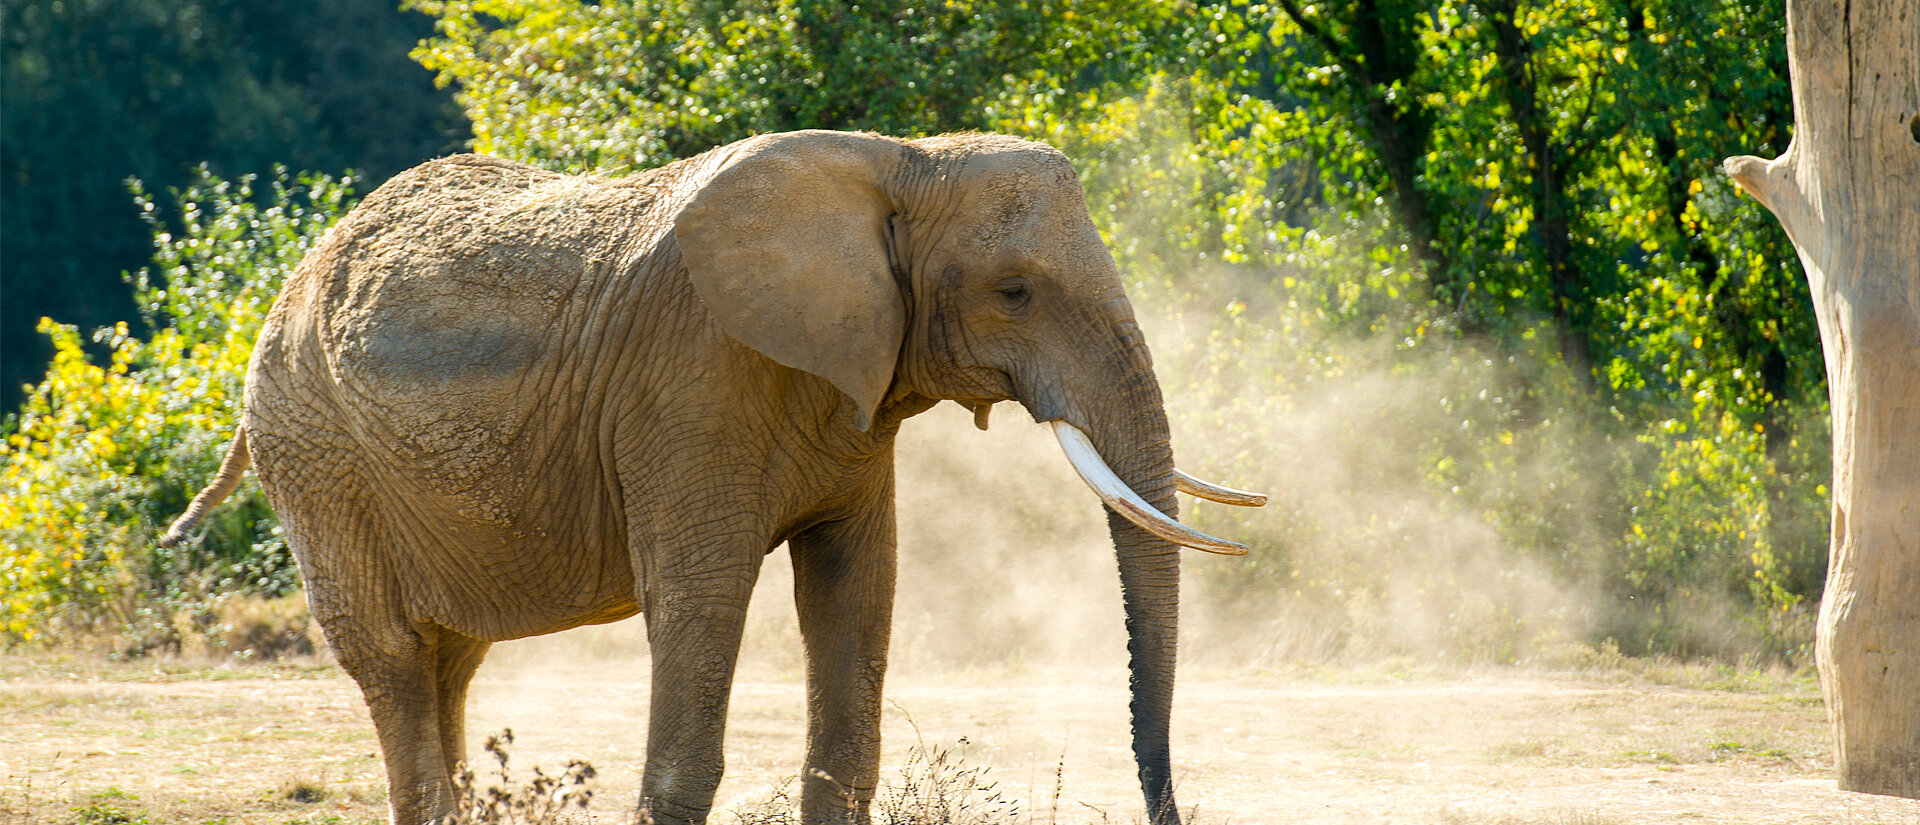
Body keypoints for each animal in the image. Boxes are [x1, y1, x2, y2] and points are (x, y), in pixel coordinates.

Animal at [165, 130, 1267, 825]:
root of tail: (288, 284)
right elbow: (699, 598)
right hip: (315, 450)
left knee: (451, 657)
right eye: (1015, 292)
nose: (1169, 811)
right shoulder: (693, 380)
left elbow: (856, 592)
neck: (902, 160)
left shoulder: (852, 397)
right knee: (392, 652)